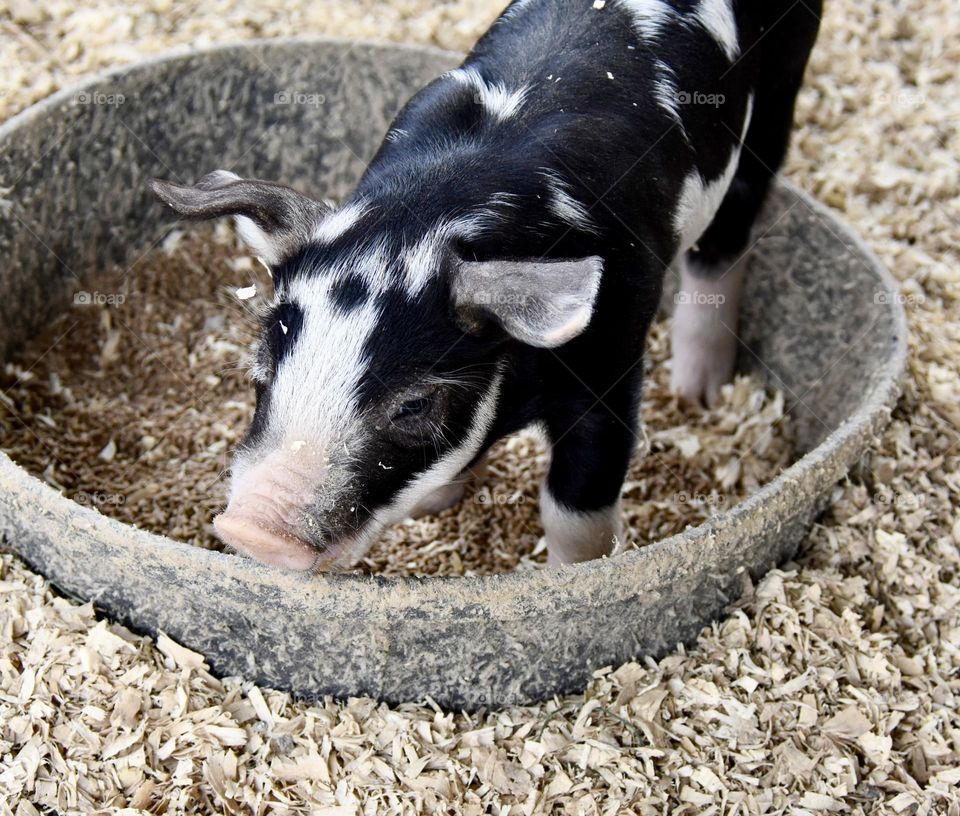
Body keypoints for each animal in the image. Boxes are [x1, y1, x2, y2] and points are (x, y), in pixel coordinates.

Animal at [151, 0, 822, 571]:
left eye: (414, 407)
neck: (431, 214)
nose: (249, 529)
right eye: (261, 369)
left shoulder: (611, 361)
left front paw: (578, 578)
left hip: (781, 82)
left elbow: (573, 505)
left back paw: (696, 394)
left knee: (731, 229)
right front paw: (433, 504)